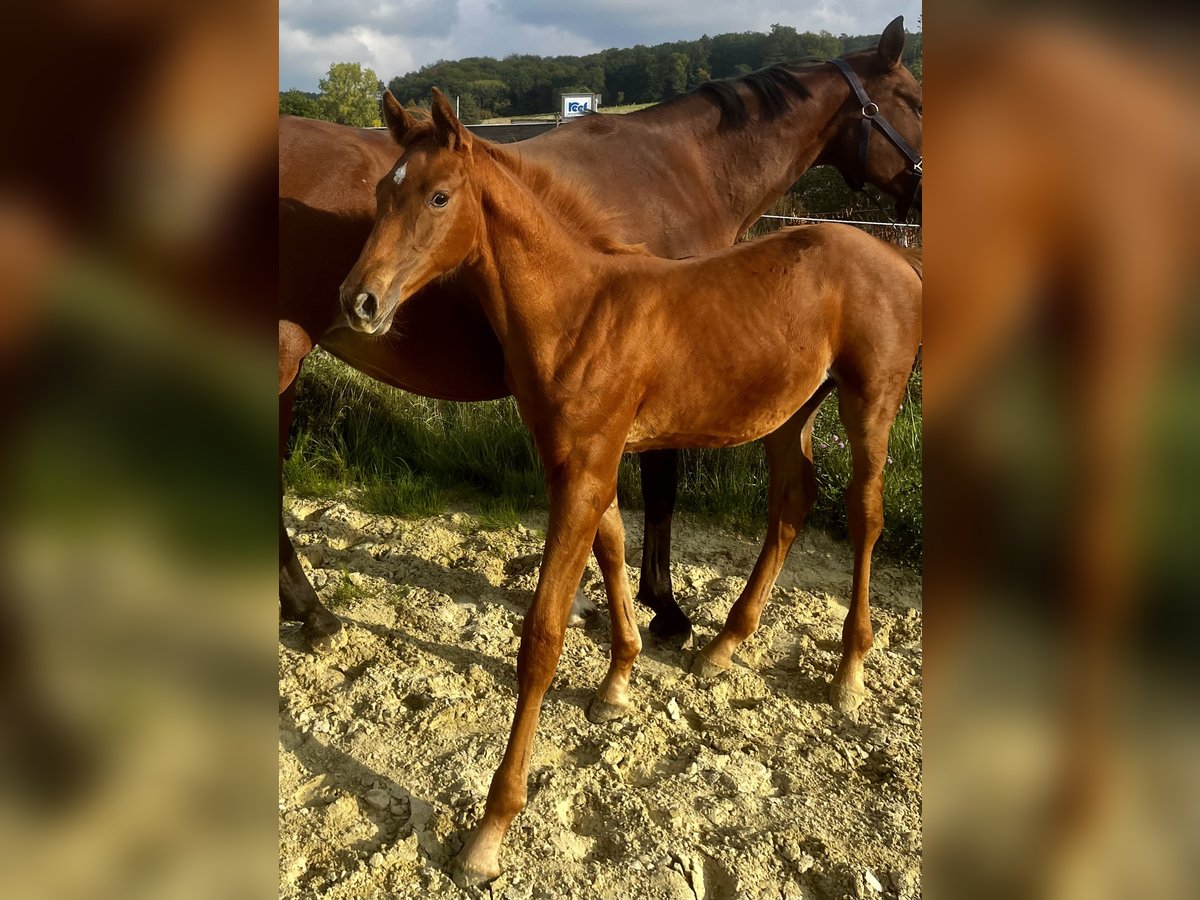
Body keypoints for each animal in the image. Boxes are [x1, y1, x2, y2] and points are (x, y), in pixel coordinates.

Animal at [279, 17, 923, 652]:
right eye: (915, 99)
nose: (922, 194)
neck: (686, 167)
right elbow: (658, 491)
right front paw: (664, 609)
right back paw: (312, 612)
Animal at [339, 88, 922, 886]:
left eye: (437, 196)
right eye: (378, 193)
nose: (359, 301)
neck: (579, 309)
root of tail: (899, 255)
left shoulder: (585, 469)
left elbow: (543, 634)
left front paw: (490, 831)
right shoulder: (583, 461)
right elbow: (614, 550)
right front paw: (618, 683)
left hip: (871, 402)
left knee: (864, 514)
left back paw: (850, 670)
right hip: (790, 409)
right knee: (792, 501)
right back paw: (723, 646)